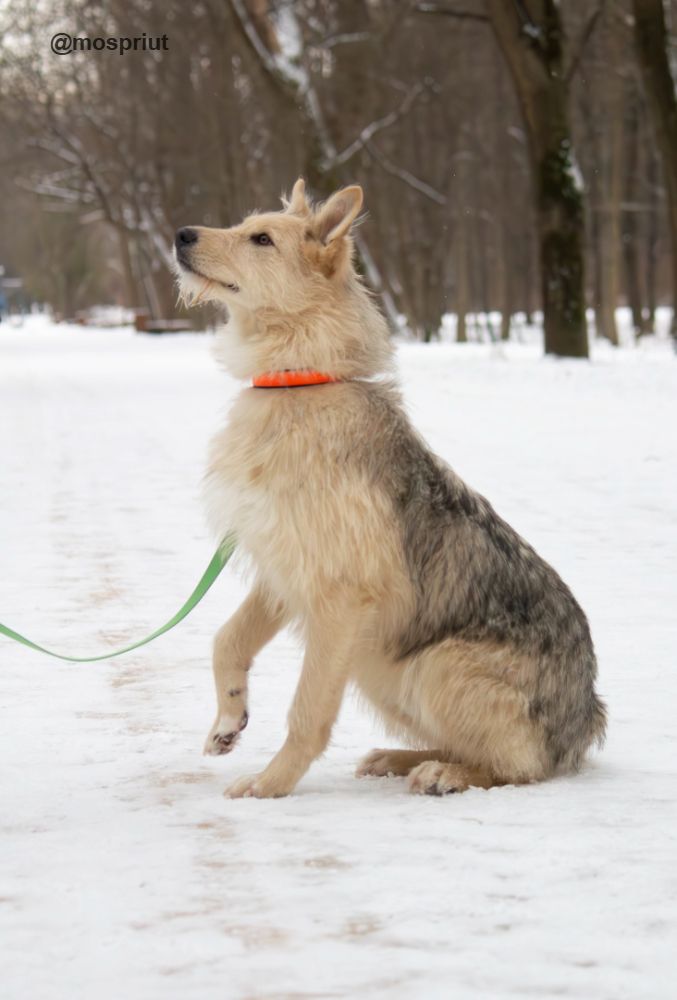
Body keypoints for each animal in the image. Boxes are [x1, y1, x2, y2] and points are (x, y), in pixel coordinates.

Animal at [174, 174, 608, 796]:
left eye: (261, 239)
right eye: (241, 225)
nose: (181, 234)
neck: (300, 382)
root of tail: (584, 721)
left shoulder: (340, 594)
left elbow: (307, 709)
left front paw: (271, 784)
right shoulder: (285, 567)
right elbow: (227, 640)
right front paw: (229, 720)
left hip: (432, 664)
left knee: (521, 767)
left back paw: (444, 773)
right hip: (381, 666)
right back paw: (400, 758)